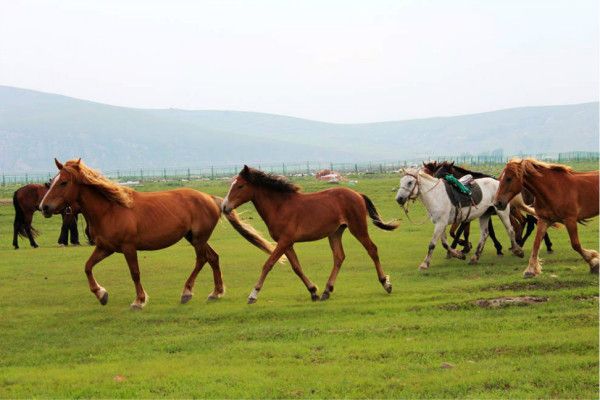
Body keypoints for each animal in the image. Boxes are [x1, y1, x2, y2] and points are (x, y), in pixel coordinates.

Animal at [39, 159, 276, 310]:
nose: (44, 207)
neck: (111, 209)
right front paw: (101, 294)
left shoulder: (128, 248)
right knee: (213, 258)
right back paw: (215, 293)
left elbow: (135, 273)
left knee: (202, 259)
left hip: (198, 239)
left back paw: (187, 292)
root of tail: (211, 198)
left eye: (63, 182)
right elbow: (87, 267)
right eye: (52, 181)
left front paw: (139, 301)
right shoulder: (106, 248)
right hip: (194, 238)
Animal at [221, 165, 398, 304]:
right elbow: (296, 267)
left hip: (357, 227)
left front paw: (252, 295)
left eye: (240, 186)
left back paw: (386, 284)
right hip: (335, 232)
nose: (224, 207)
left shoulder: (284, 241)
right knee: (339, 257)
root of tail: (358, 194)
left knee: (372, 249)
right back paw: (327, 291)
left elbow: (268, 264)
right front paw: (313, 291)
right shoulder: (287, 243)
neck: (280, 207)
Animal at [396, 167, 524, 270]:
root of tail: (497, 182)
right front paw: (458, 254)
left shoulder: (441, 223)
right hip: (484, 214)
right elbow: (445, 244)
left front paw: (425, 264)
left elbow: (432, 244)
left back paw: (518, 251)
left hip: (502, 211)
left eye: (409, 182)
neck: (436, 195)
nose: (399, 199)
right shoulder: (440, 223)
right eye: (401, 181)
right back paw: (475, 258)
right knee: (485, 233)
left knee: (510, 230)